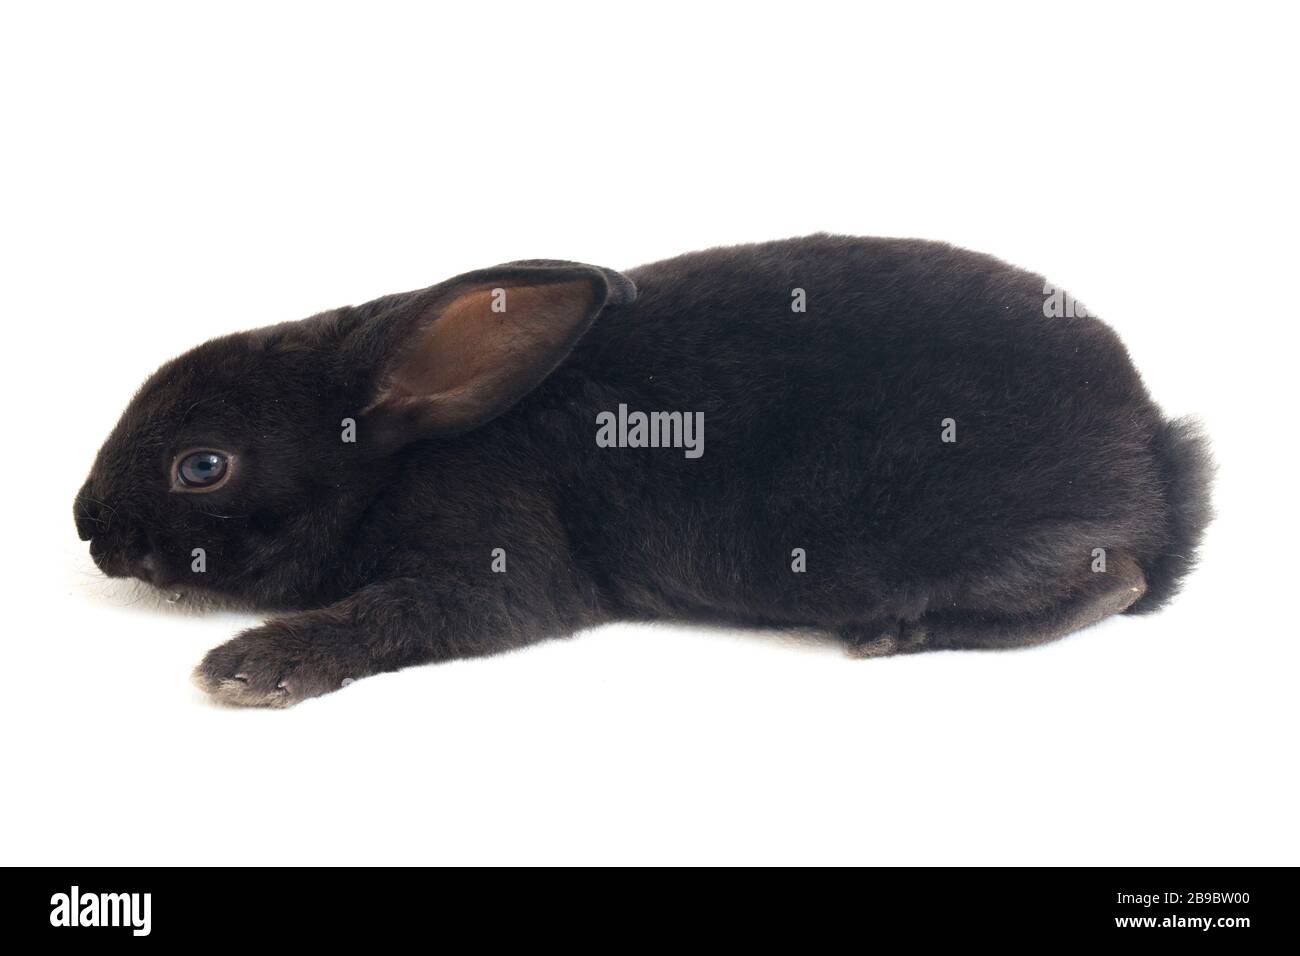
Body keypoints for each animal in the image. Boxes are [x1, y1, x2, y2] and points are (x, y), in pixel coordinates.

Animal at [74, 234, 1213, 707]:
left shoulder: (491, 560)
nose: (85, 524)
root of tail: (1151, 445)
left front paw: (253, 665)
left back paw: (901, 632)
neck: (402, 446)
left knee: (1113, 582)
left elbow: (399, 613)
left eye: (201, 465)